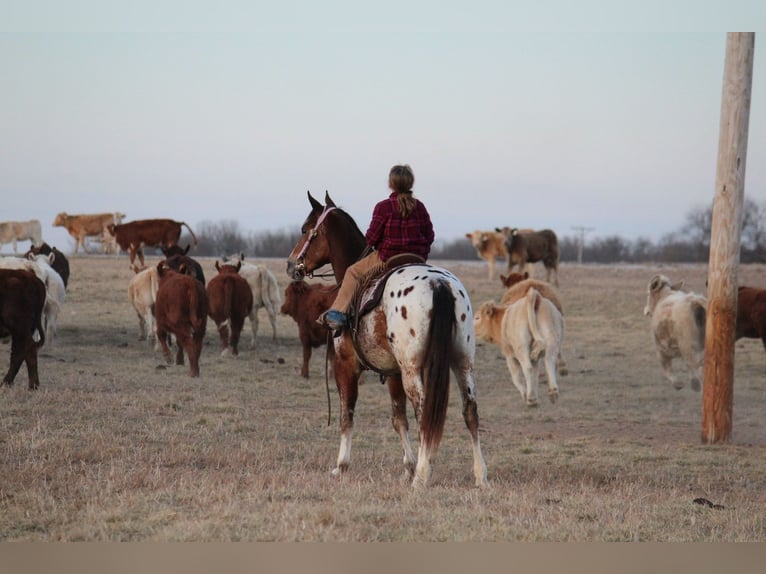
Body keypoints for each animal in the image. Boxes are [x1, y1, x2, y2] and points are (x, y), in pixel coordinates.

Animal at [286, 190, 488, 488]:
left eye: (304, 229)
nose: (291, 265)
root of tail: (438, 284)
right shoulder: (393, 373)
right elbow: (398, 418)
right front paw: (408, 466)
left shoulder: (345, 365)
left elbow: (347, 415)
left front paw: (341, 466)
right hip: (462, 361)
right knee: (470, 411)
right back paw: (479, 475)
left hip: (412, 369)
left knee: (425, 412)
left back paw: (423, 476)